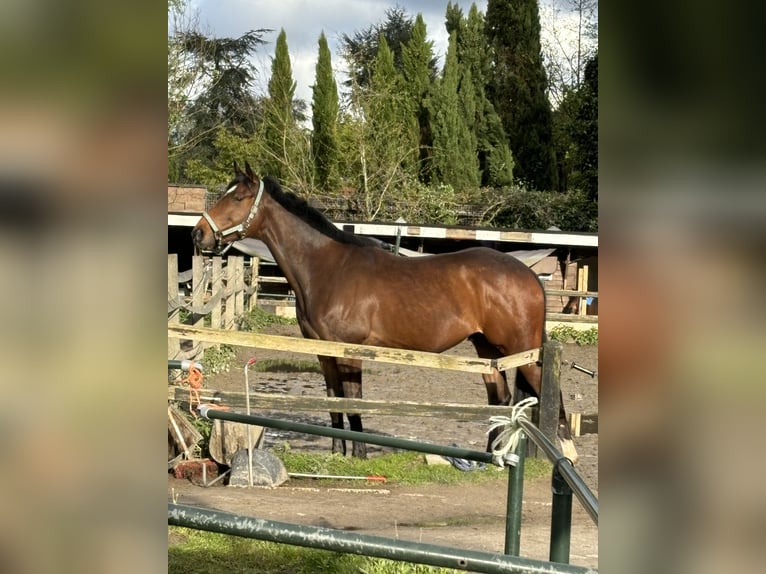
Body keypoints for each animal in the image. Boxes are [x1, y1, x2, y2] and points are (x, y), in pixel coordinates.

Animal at [192, 162, 576, 464]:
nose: (198, 234)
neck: (328, 268)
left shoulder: (350, 352)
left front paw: (359, 454)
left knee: (547, 393)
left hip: (521, 348)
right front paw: (338, 452)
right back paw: (489, 458)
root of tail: (528, 275)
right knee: (500, 399)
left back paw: (565, 453)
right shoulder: (323, 352)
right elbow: (333, 401)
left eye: (237, 197)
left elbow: (353, 401)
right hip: (487, 349)